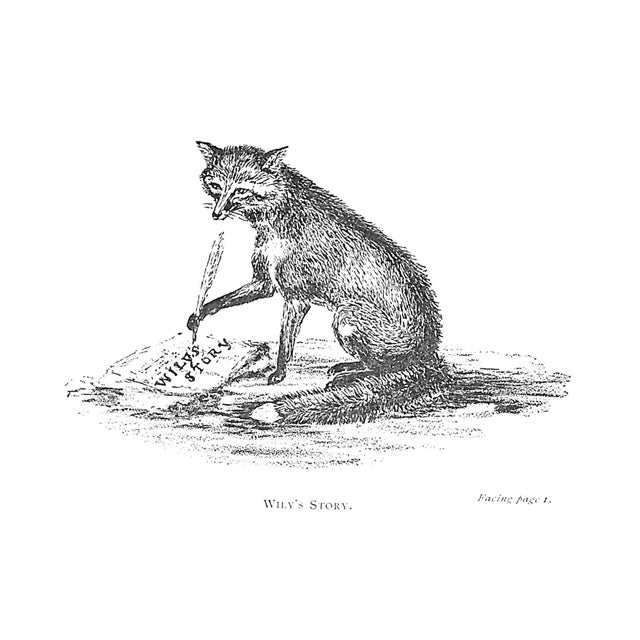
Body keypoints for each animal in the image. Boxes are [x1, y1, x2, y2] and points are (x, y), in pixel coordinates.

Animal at [187, 142, 447, 424]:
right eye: (215, 185)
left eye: (241, 190)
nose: (217, 214)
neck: (279, 213)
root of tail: (430, 352)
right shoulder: (265, 283)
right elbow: (221, 300)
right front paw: (198, 315)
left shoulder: (296, 297)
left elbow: (285, 342)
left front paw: (279, 373)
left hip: (346, 316)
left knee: (384, 367)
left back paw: (349, 375)